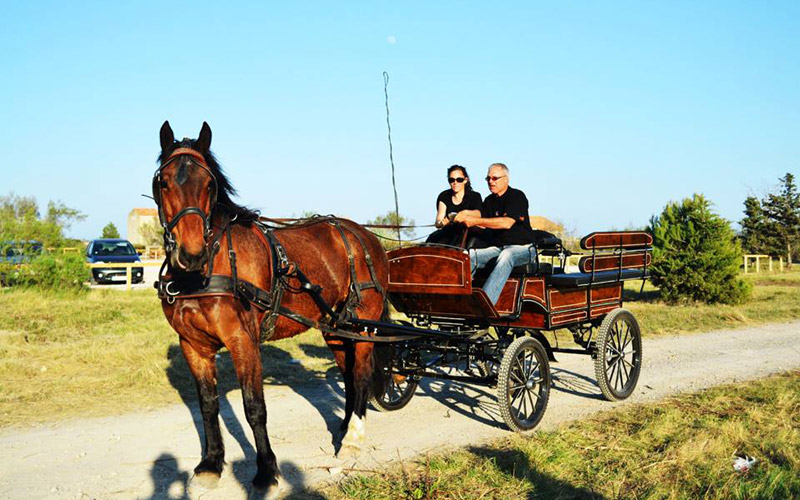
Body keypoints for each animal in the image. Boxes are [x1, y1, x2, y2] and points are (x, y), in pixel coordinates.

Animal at [153, 122, 390, 496]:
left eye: (209, 184)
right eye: (163, 182)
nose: (191, 253)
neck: (208, 268)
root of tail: (363, 236)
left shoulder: (243, 341)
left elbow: (254, 407)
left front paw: (267, 472)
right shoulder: (193, 345)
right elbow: (208, 405)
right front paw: (211, 464)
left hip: (364, 325)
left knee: (363, 373)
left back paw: (353, 438)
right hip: (336, 327)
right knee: (350, 374)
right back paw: (344, 427)